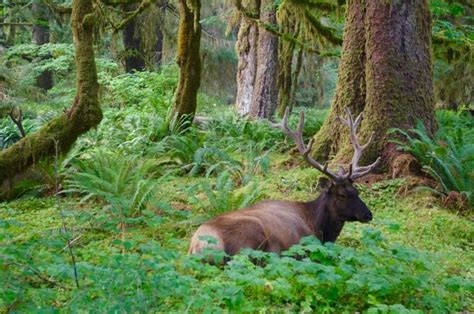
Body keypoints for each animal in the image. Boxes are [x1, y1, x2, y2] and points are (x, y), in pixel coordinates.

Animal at [188, 108, 382, 258]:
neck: (317, 224)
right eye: (342, 194)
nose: (368, 214)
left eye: (357, 191)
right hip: (252, 238)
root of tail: (200, 247)